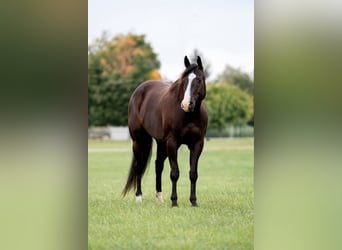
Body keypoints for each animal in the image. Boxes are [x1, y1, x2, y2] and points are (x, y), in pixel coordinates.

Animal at [123, 55, 208, 206]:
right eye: (184, 80)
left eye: (198, 79)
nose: (186, 104)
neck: (189, 116)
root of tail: (138, 91)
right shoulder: (173, 143)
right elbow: (174, 173)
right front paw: (174, 202)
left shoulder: (197, 144)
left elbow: (193, 174)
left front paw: (193, 202)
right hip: (139, 140)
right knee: (139, 166)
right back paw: (139, 197)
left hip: (161, 143)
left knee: (158, 165)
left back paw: (159, 197)